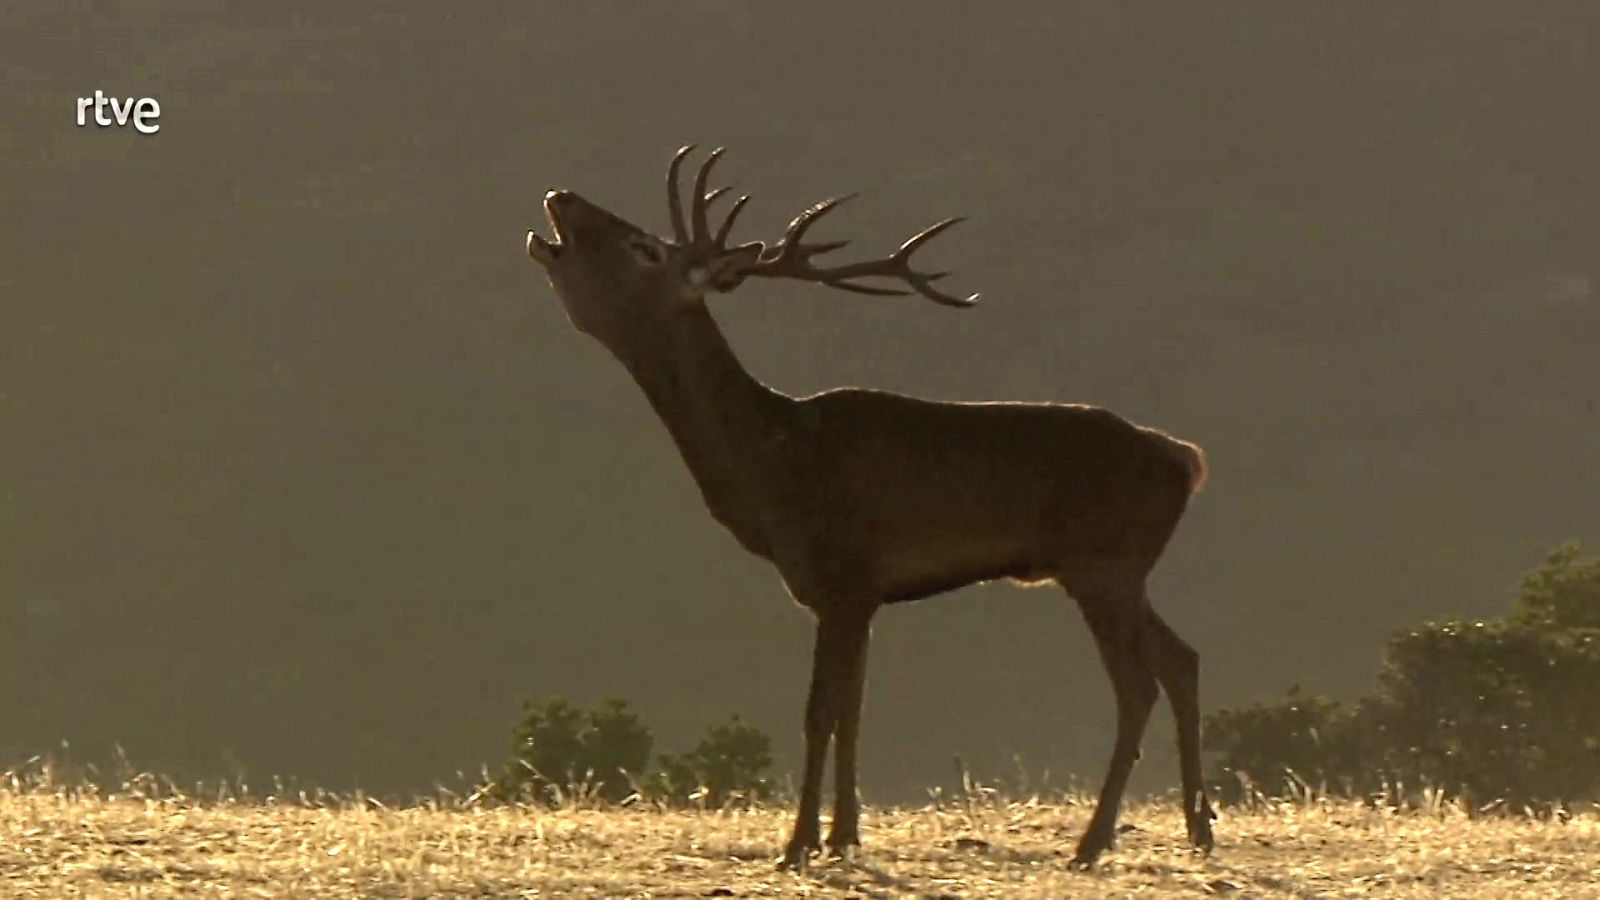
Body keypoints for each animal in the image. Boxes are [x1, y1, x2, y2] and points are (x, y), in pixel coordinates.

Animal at [524, 147, 1209, 871]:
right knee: (1182, 659)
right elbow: (854, 711)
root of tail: (1185, 459)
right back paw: (1199, 828)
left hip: (1103, 565)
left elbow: (820, 712)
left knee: (1138, 686)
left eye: (645, 248)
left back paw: (1093, 841)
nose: (561, 196)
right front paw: (843, 836)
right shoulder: (862, 594)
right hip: (1120, 572)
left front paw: (797, 845)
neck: (775, 468)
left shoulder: (844, 576)